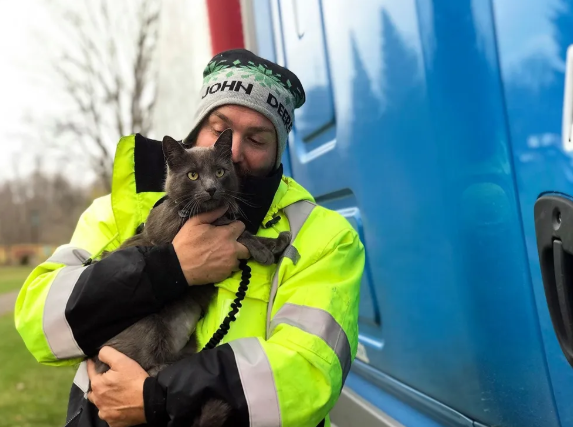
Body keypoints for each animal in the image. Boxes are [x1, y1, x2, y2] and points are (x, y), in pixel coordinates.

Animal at [95, 130, 290, 427]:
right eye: (193, 175)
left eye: (220, 172)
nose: (211, 188)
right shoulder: (171, 231)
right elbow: (235, 229)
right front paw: (262, 249)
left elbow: (238, 226)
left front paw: (277, 242)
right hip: (148, 327)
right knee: (144, 368)